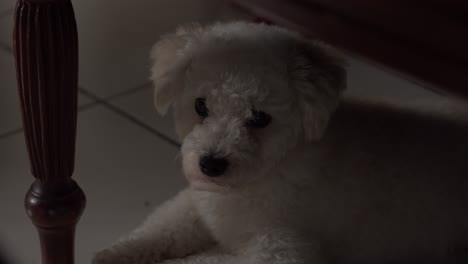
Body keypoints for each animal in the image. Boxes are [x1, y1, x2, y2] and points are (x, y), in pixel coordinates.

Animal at [93, 21, 468, 264]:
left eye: (260, 118)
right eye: (201, 106)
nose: (210, 165)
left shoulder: (281, 248)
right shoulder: (195, 203)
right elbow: (162, 225)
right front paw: (114, 253)